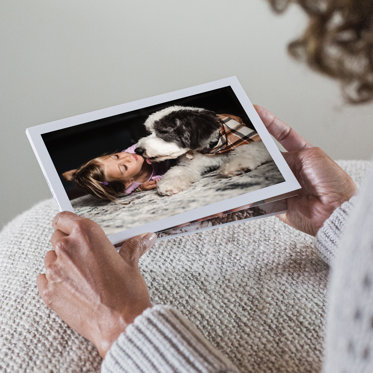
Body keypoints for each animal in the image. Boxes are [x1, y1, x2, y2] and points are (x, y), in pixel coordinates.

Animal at [135, 105, 268, 195]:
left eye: (163, 131)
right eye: (148, 132)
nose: (138, 150)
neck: (213, 149)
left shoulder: (253, 142)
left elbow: (250, 151)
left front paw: (236, 166)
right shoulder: (191, 164)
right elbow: (177, 171)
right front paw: (169, 183)